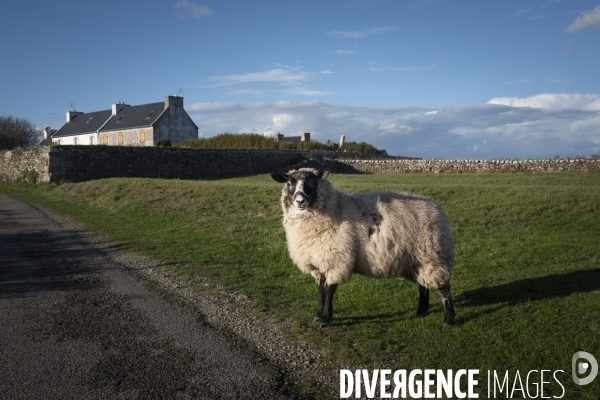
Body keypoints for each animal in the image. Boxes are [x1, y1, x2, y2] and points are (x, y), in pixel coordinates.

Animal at [270, 167, 458, 326]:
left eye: (311, 182)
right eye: (289, 183)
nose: (299, 201)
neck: (335, 208)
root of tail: (434, 206)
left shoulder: (336, 260)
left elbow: (329, 290)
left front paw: (325, 319)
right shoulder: (319, 262)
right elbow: (321, 290)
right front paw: (317, 315)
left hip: (431, 256)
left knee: (444, 288)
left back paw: (448, 320)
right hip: (417, 259)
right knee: (423, 285)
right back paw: (421, 312)